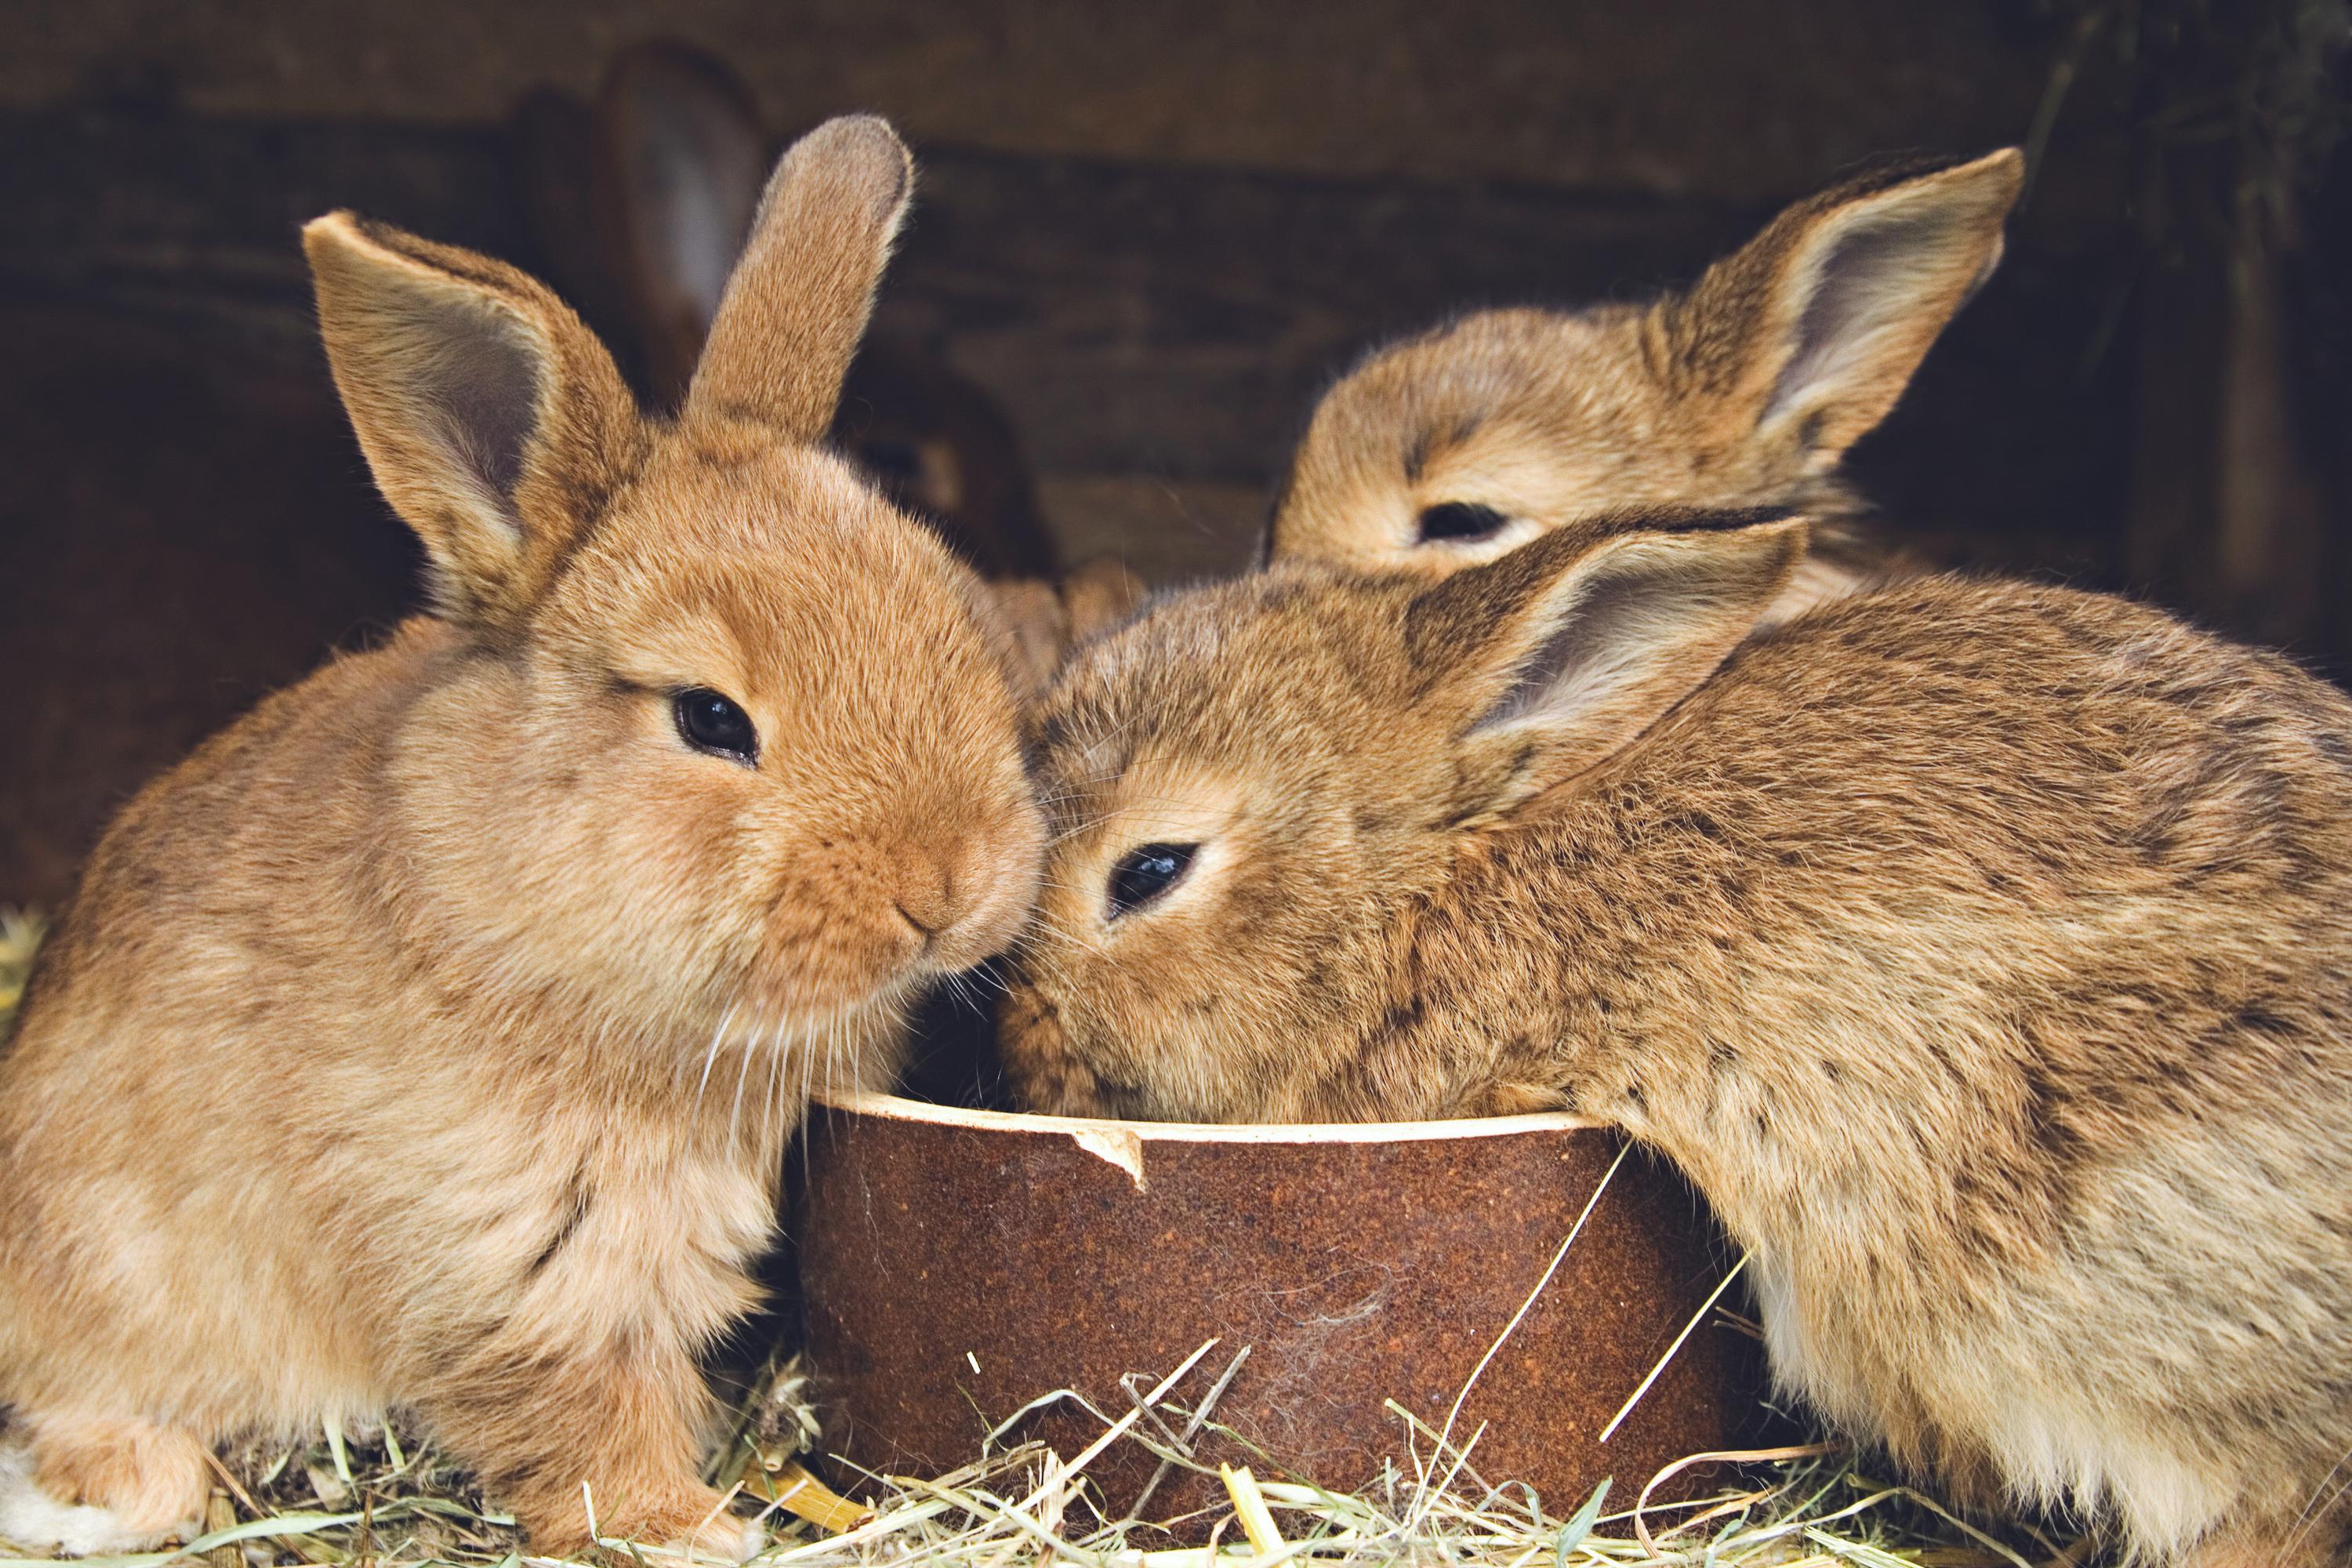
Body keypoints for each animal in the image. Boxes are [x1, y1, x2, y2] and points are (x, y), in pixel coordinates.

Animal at [0, 115, 1044, 1560]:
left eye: (948, 615)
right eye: (710, 719)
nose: (950, 889)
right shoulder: (520, 1257)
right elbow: (586, 1418)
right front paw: (687, 1528)